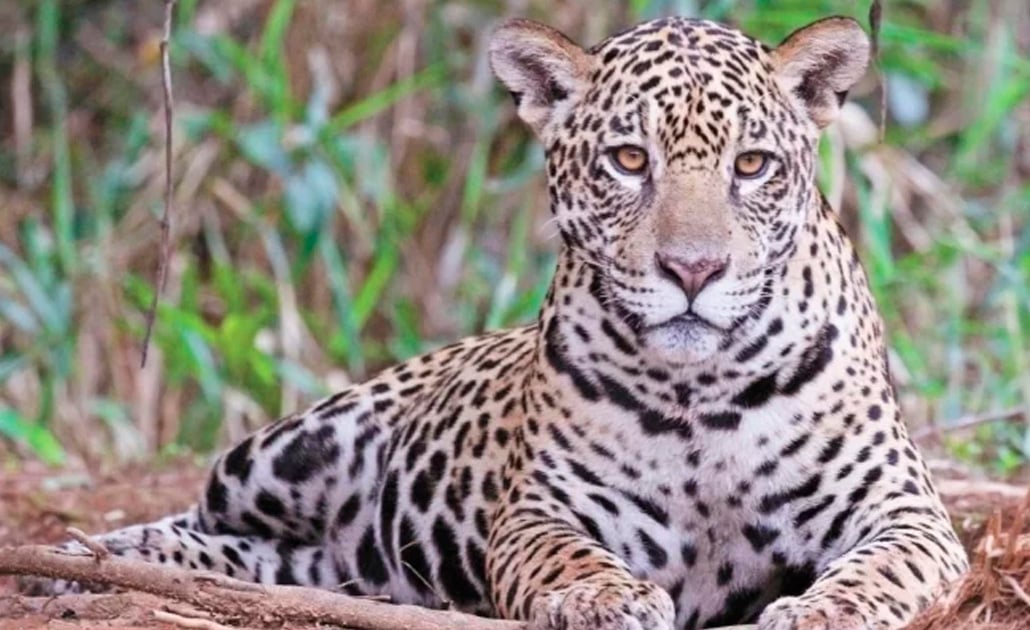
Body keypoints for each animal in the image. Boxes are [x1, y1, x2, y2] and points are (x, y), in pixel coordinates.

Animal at [28, 13, 969, 630]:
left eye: (753, 165)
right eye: (629, 160)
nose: (693, 270)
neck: (703, 388)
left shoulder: (906, 510)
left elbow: (882, 568)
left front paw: (820, 612)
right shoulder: (543, 510)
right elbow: (563, 554)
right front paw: (601, 596)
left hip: (310, 552)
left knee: (249, 558)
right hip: (281, 454)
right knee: (192, 522)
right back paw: (75, 563)